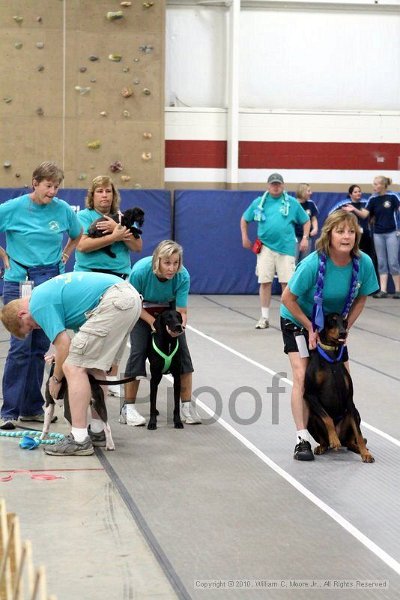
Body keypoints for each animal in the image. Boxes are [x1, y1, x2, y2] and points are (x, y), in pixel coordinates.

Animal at [304, 314, 374, 464]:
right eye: (332, 320)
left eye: (345, 321)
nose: (343, 333)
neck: (331, 356)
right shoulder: (310, 394)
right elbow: (328, 418)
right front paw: (333, 439)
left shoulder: (349, 399)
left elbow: (359, 434)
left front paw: (366, 454)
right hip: (311, 418)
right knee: (325, 440)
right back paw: (325, 445)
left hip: (355, 414)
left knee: (351, 441)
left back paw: (359, 448)